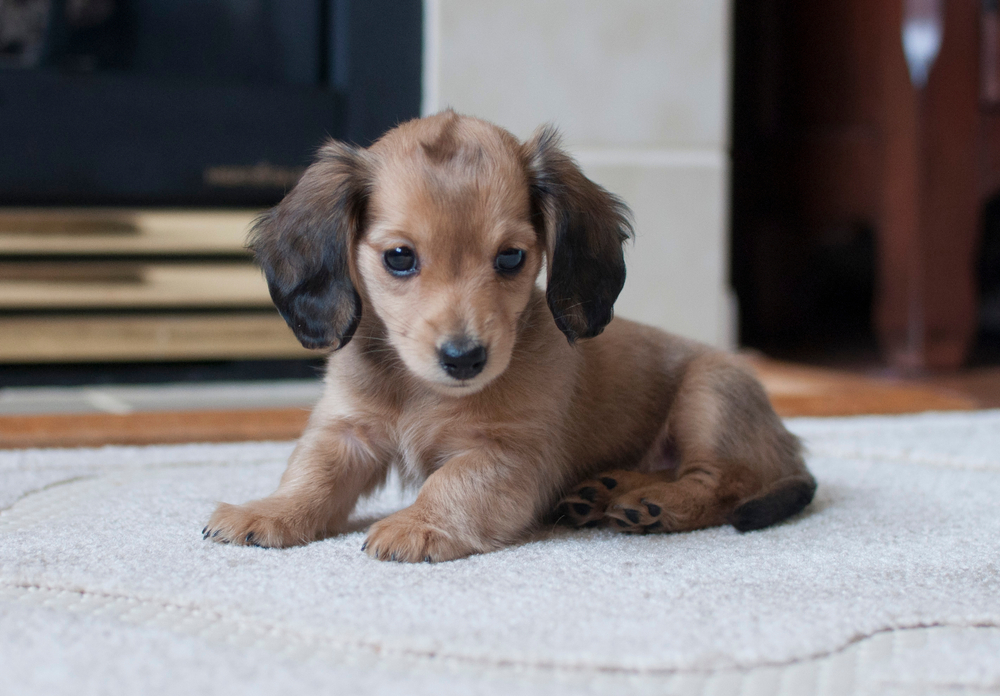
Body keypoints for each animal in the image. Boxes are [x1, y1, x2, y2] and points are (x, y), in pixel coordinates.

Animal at [203, 111, 812, 564]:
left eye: (511, 257)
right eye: (399, 257)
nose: (465, 358)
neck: (422, 391)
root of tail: (789, 450)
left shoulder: (509, 455)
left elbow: (452, 481)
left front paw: (420, 524)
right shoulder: (346, 430)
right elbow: (311, 474)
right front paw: (269, 512)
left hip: (709, 393)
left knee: (720, 482)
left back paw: (657, 503)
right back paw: (607, 490)